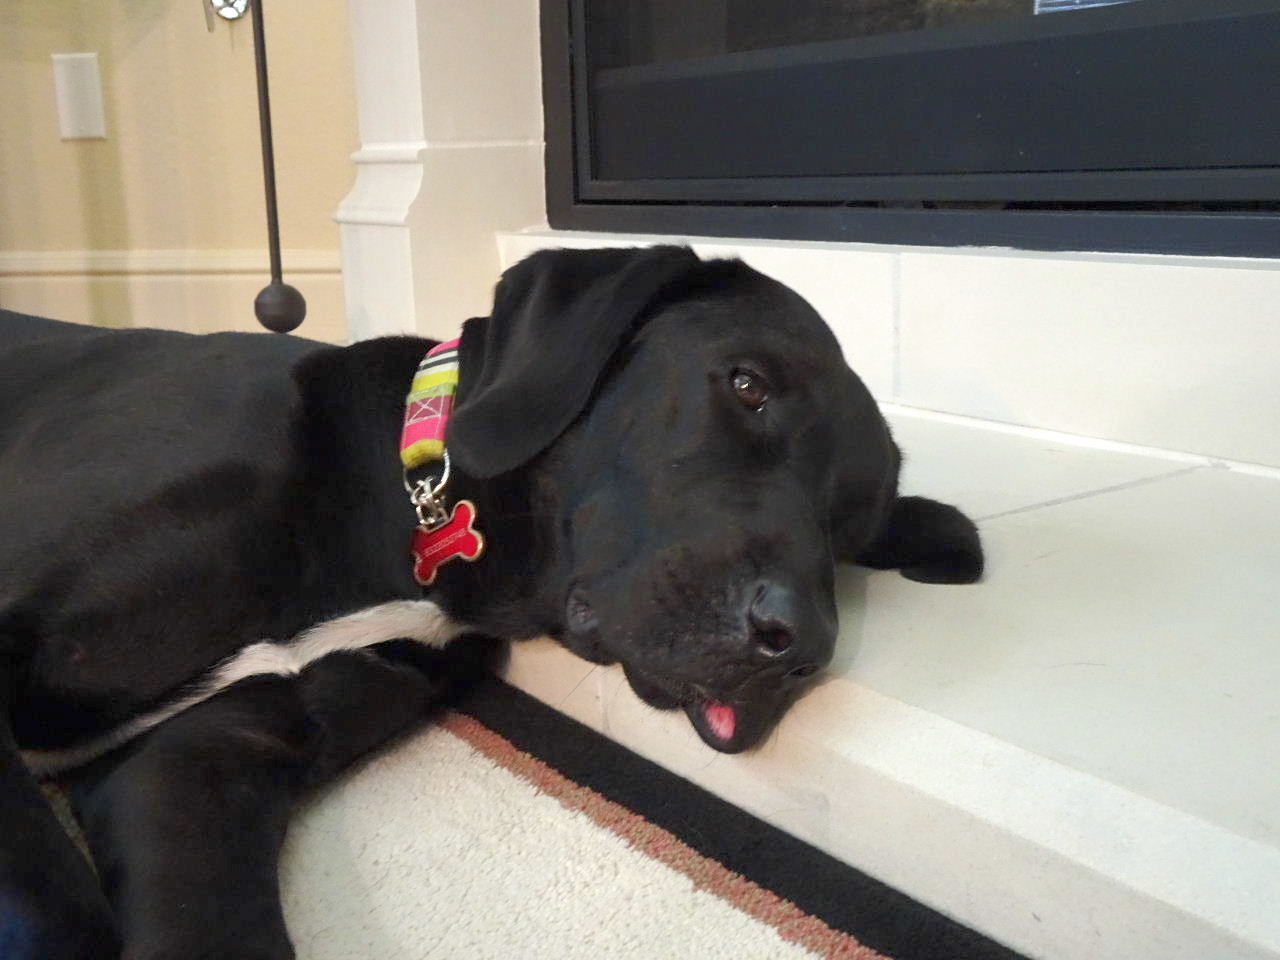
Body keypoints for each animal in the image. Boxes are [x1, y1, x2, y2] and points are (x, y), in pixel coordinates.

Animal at [0, 245, 981, 959]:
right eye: (747, 384)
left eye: (852, 528)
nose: (798, 645)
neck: (405, 515)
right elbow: (54, 914)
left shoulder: (196, 761)